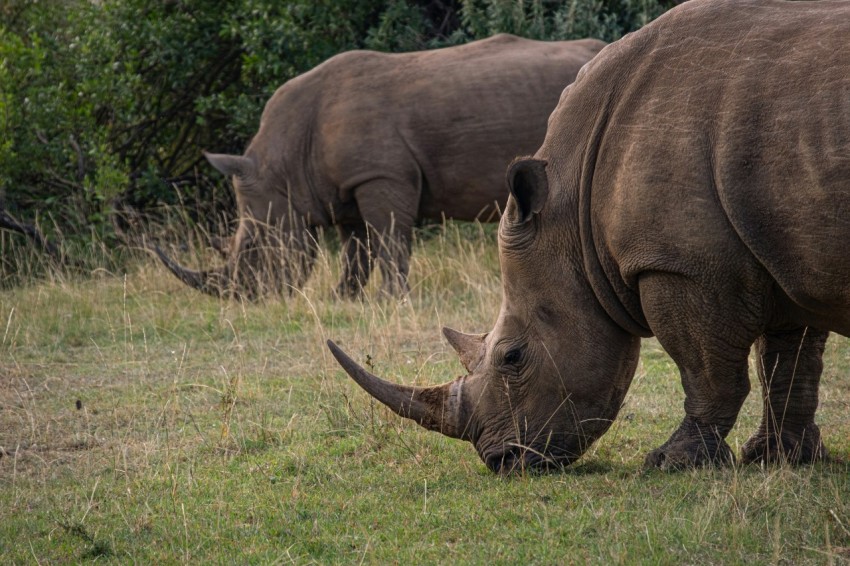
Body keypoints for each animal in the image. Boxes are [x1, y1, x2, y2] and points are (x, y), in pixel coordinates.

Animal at [157, 35, 605, 299]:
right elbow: (356, 249)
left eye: (252, 247)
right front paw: (343, 298)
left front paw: (393, 298)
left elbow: (388, 239)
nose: (247, 298)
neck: (284, 162)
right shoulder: (344, 188)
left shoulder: (380, 176)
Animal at [328, 0, 850, 473]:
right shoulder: (778, 253)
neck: (573, 210)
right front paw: (783, 458)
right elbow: (790, 361)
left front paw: (673, 462)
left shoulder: (683, 266)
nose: (501, 461)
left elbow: (707, 369)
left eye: (513, 357)